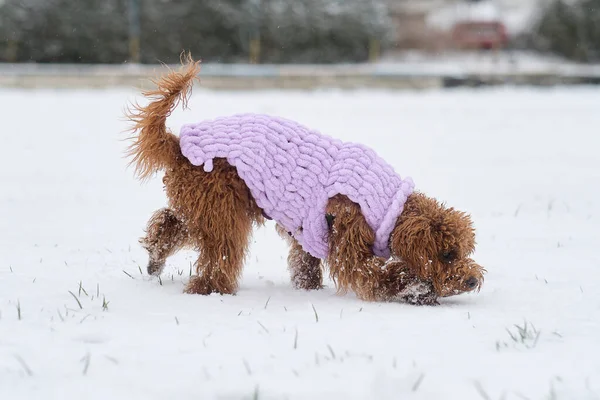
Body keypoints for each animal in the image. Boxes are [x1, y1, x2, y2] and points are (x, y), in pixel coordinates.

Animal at [124, 56, 486, 304]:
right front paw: (413, 287)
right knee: (218, 256)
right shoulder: (348, 236)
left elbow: (305, 263)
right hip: (222, 210)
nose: (471, 280)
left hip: (202, 205)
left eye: (464, 250)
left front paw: (307, 287)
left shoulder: (309, 233)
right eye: (448, 254)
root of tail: (180, 146)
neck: (387, 208)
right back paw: (209, 290)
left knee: (168, 222)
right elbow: (370, 274)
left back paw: (155, 257)